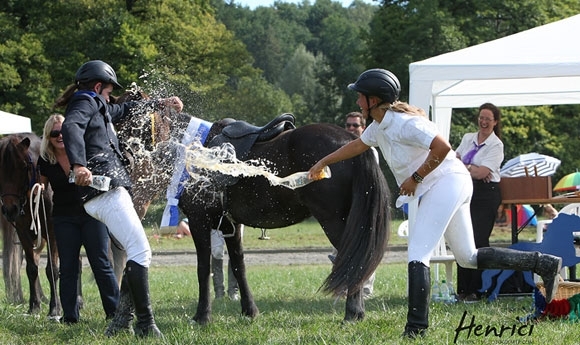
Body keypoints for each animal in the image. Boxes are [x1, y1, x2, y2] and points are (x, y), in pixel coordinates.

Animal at [0, 133, 61, 316]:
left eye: (22, 167)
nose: (9, 209)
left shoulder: (52, 231)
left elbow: (52, 269)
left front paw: (55, 308)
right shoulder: (22, 232)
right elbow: (32, 268)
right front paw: (34, 305)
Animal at [180, 118, 390, 322]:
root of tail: (352, 141)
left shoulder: (198, 221)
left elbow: (203, 269)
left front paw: (202, 316)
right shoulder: (230, 225)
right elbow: (239, 266)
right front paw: (249, 311)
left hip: (334, 221)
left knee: (353, 260)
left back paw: (352, 313)